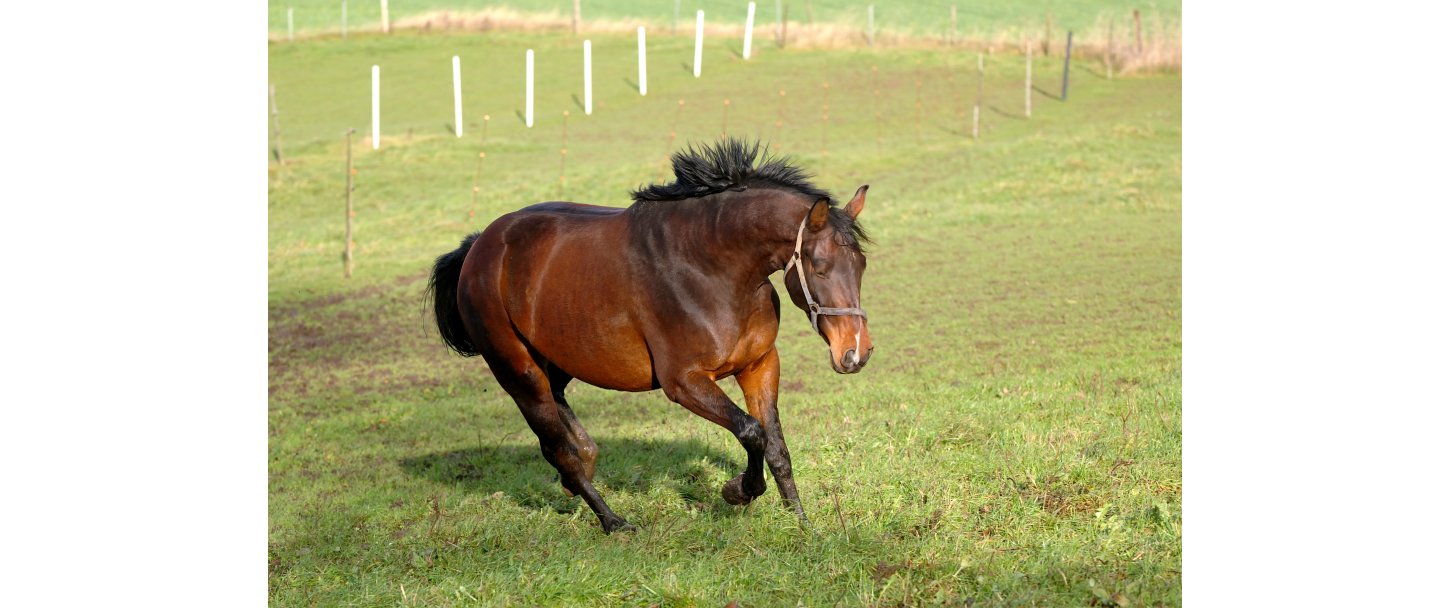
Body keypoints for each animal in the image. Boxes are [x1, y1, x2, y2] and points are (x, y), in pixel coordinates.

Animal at [420, 137, 870, 533]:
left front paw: (803, 524)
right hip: (518, 372)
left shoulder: (759, 365)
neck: (713, 268)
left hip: (559, 358)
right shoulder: (684, 382)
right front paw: (737, 491)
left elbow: (776, 448)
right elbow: (750, 432)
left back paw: (584, 467)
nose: (855, 353)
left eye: (862, 264)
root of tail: (479, 246)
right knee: (557, 449)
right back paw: (613, 521)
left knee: (566, 424)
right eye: (820, 267)